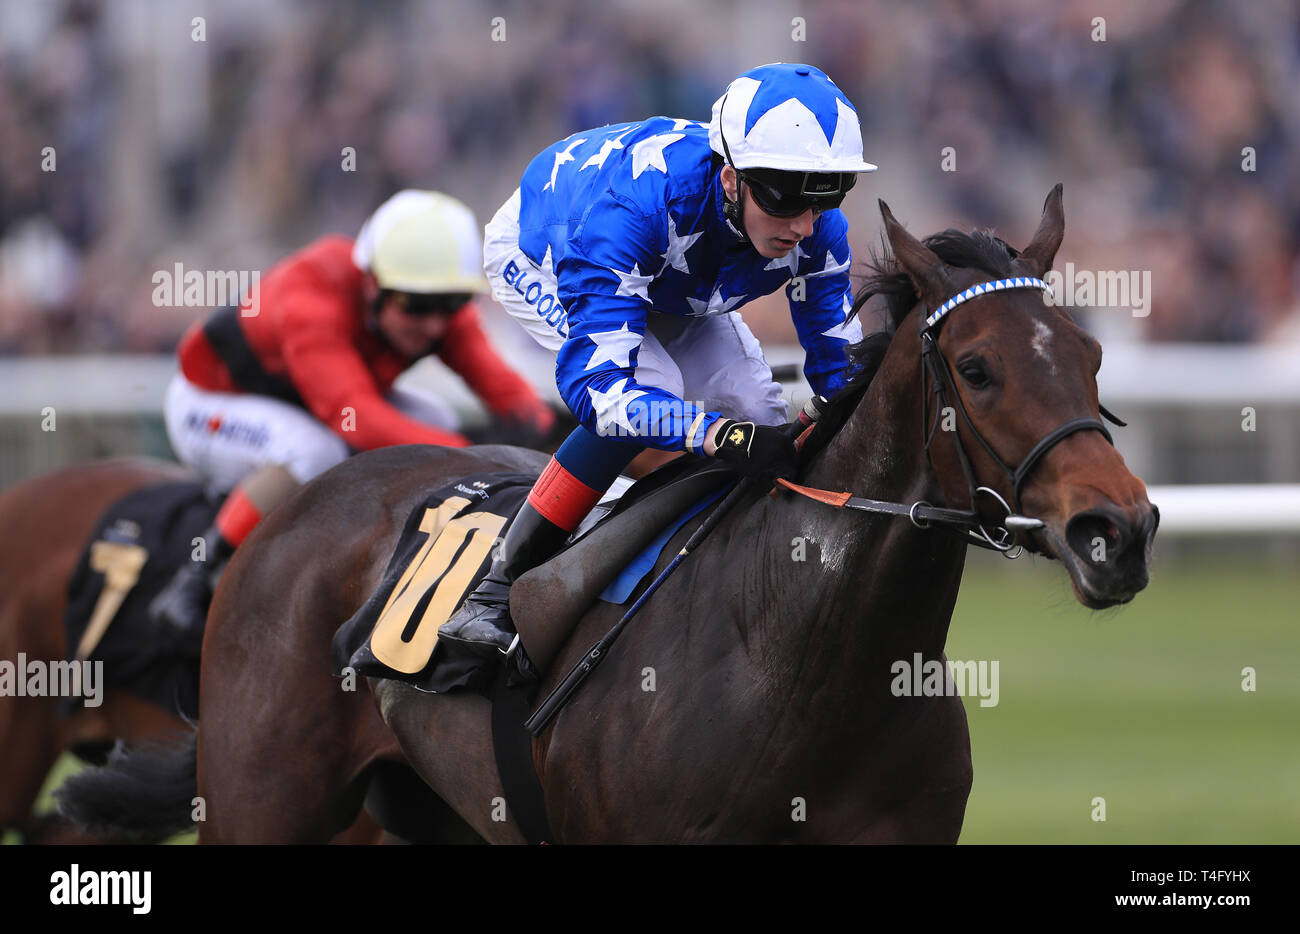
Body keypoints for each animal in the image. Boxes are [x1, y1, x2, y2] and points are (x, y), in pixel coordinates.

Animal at [58, 186, 1159, 842]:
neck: (802, 658)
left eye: (1092, 355)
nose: (1117, 532)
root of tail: (302, 507)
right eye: (975, 368)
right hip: (265, 801)